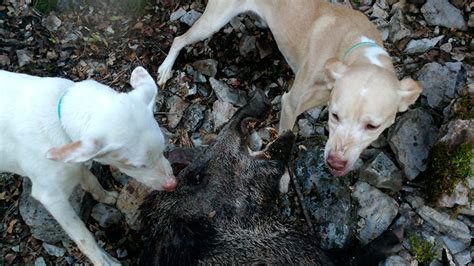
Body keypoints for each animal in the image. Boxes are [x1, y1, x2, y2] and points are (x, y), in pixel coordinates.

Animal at [0, 66, 176, 264]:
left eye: (162, 149)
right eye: (137, 166)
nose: (172, 184)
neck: (60, 116)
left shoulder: (78, 161)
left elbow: (91, 180)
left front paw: (106, 197)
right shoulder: (51, 197)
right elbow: (83, 237)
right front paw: (103, 261)